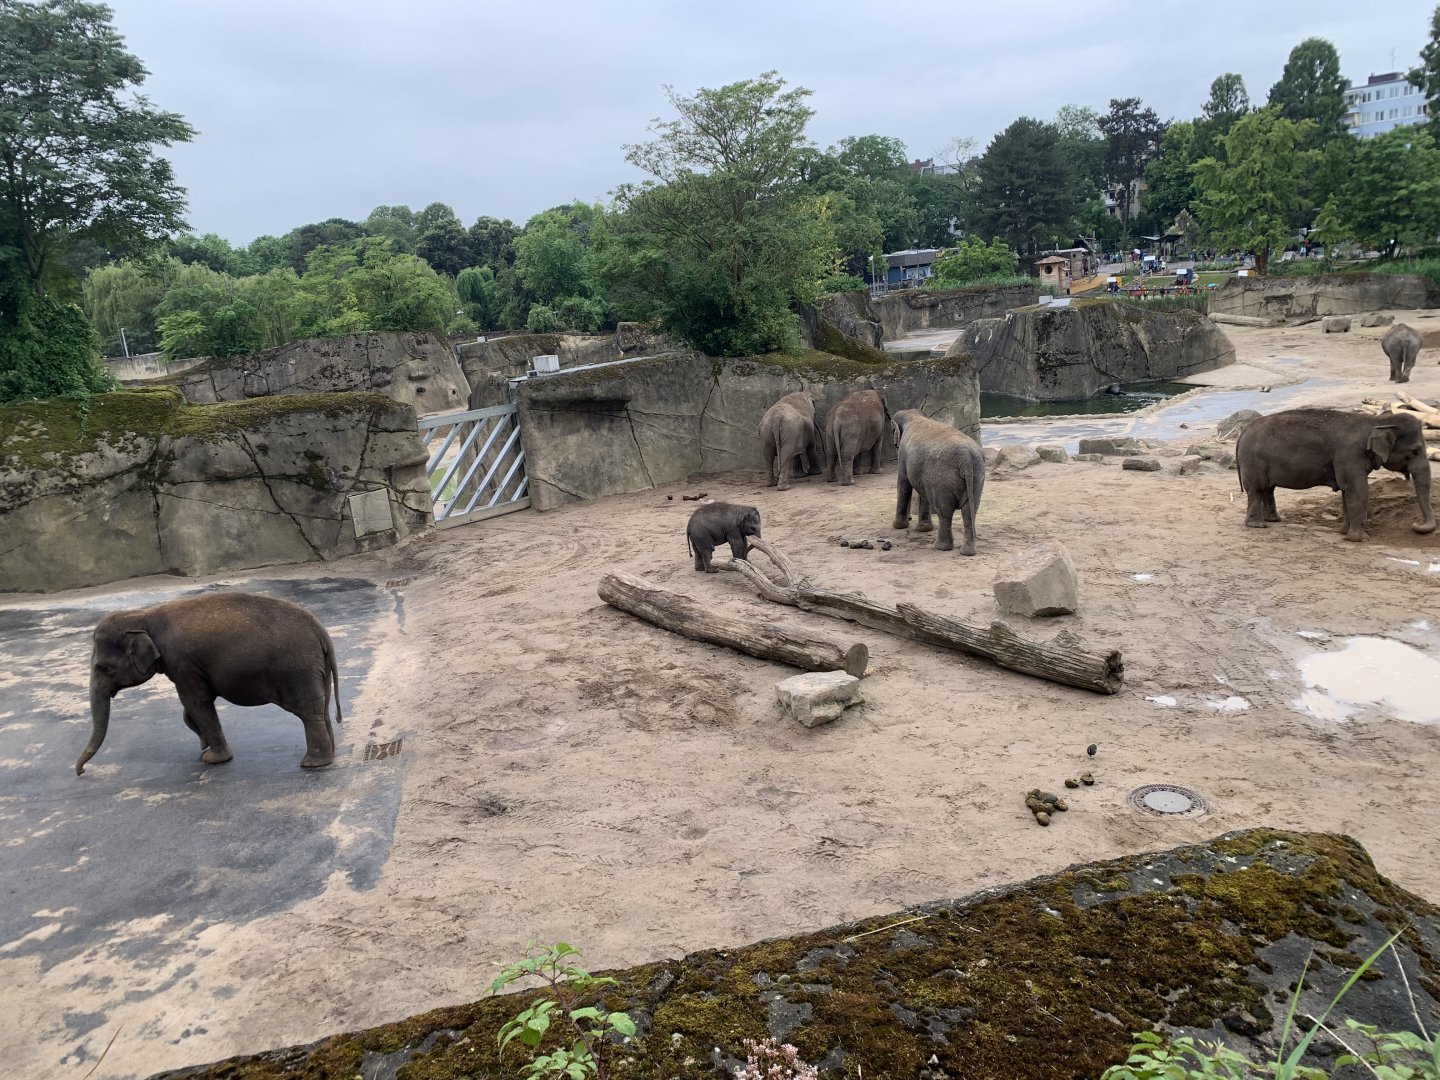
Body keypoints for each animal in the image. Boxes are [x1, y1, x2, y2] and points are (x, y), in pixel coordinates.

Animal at [76, 591, 343, 775]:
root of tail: (321, 631)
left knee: (309, 713)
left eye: (103, 668)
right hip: (316, 668)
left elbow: (196, 702)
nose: (81, 771)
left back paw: (313, 764)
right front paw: (204, 744)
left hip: (297, 671)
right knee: (321, 708)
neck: (143, 615)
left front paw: (212, 759)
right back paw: (328, 755)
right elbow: (191, 707)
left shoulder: (181, 661)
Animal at [890, 410, 986, 554]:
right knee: (969, 510)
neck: (912, 415)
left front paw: (898, 526)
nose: (910, 518)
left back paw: (940, 547)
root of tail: (966, 458)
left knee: (944, 512)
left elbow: (904, 484)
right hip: (976, 476)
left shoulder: (903, 455)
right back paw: (967, 552)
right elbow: (922, 492)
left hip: (941, 480)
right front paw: (924, 529)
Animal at [1236, 407, 1436, 542]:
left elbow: (1348, 493)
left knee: (1268, 489)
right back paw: (1258, 525)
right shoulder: (1349, 455)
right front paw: (1360, 539)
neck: (1375, 422)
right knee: (1257, 490)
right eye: (1415, 451)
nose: (1415, 525)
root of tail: (1243, 432)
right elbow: (1358, 491)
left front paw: (1344, 532)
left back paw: (1274, 520)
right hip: (1254, 462)